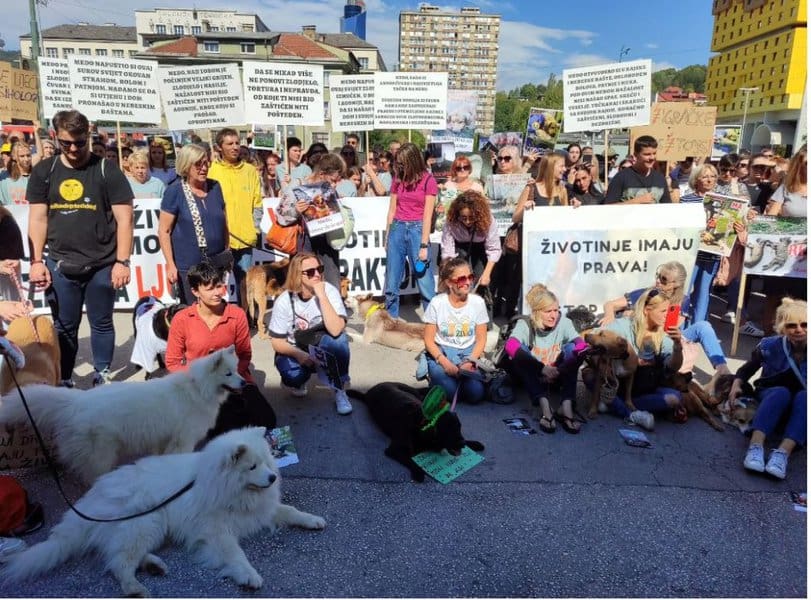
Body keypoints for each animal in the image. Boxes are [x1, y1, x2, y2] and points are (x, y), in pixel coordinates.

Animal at [0, 346, 244, 482]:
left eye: (237, 370)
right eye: (228, 374)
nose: (244, 383)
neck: (197, 388)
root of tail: (76, 401)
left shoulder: (164, 439)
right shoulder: (183, 439)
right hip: (101, 454)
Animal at [3, 426, 326, 596]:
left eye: (268, 464)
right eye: (252, 467)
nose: (271, 478)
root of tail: (90, 501)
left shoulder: (260, 510)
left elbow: (290, 510)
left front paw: (313, 520)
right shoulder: (215, 531)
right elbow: (236, 554)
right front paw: (248, 576)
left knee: (118, 553)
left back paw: (153, 566)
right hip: (147, 520)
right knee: (118, 562)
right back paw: (134, 586)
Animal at [348, 384, 486, 482]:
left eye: (459, 427)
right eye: (448, 430)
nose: (462, 444)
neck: (423, 424)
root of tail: (368, 392)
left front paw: (474, 443)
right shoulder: (394, 449)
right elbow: (410, 460)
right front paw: (419, 472)